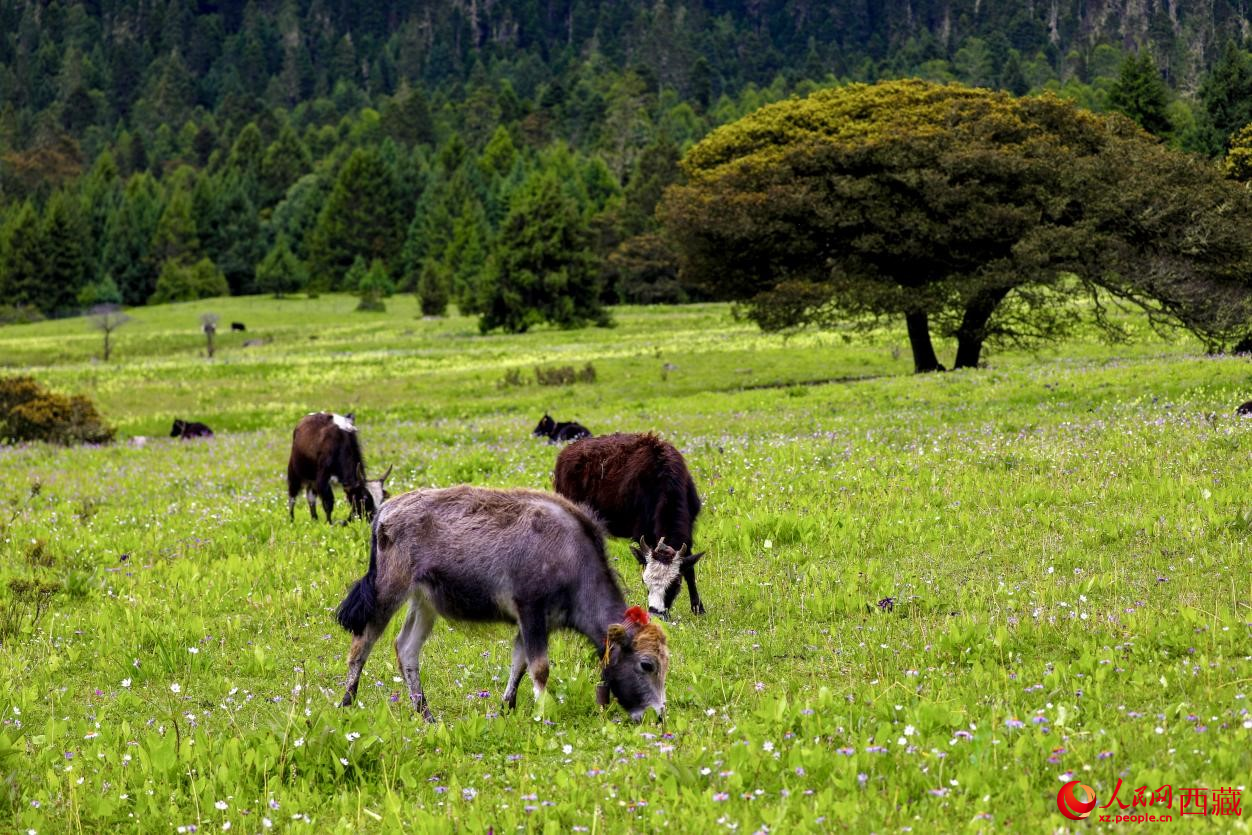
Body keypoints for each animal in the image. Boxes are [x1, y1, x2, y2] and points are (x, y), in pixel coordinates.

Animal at [555, 435, 706, 618]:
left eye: (675, 584)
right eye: (644, 582)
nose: (656, 614)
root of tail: (567, 451)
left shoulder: (689, 529)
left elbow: (690, 569)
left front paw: (698, 608)